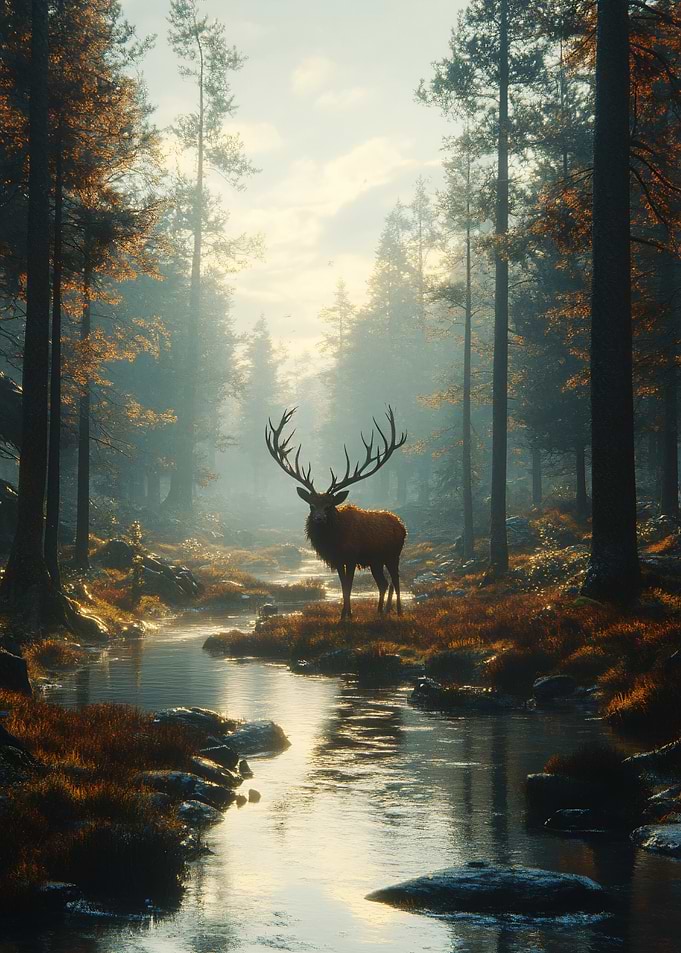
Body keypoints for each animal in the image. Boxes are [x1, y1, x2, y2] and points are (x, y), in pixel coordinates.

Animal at [265, 406, 407, 622]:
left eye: (329, 506)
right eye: (311, 505)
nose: (318, 519)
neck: (334, 540)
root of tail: (401, 525)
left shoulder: (351, 556)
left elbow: (348, 585)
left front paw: (346, 616)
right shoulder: (338, 559)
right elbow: (343, 586)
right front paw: (344, 615)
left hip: (393, 554)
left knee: (396, 580)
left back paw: (398, 611)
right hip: (375, 560)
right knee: (383, 583)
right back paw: (379, 612)